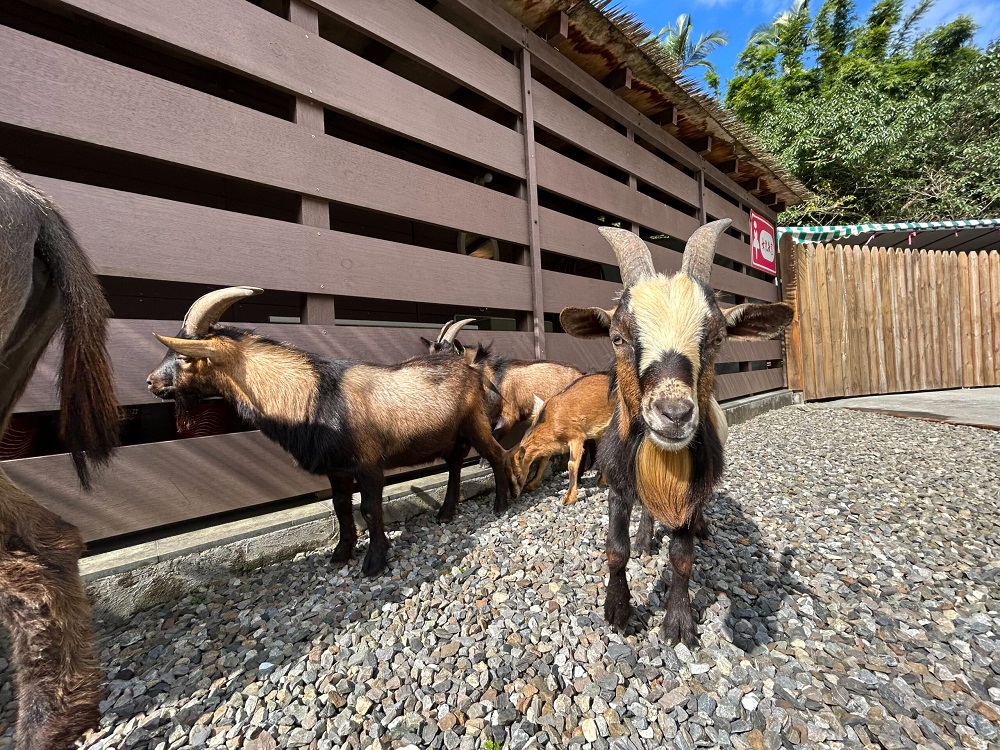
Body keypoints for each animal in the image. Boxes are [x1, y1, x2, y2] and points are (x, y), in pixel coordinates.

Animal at [148, 290, 516, 580]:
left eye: (184, 356)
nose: (151, 382)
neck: (316, 393)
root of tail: (472, 368)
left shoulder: (368, 463)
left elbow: (369, 508)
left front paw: (374, 562)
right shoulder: (337, 468)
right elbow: (341, 507)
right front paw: (341, 553)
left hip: (474, 423)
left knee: (496, 454)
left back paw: (501, 503)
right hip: (451, 434)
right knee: (454, 465)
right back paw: (445, 512)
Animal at [564, 222, 788, 648]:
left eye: (717, 339)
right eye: (617, 337)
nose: (674, 414)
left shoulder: (689, 489)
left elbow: (682, 558)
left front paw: (678, 624)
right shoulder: (617, 483)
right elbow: (615, 549)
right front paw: (618, 611)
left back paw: (702, 528)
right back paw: (645, 538)